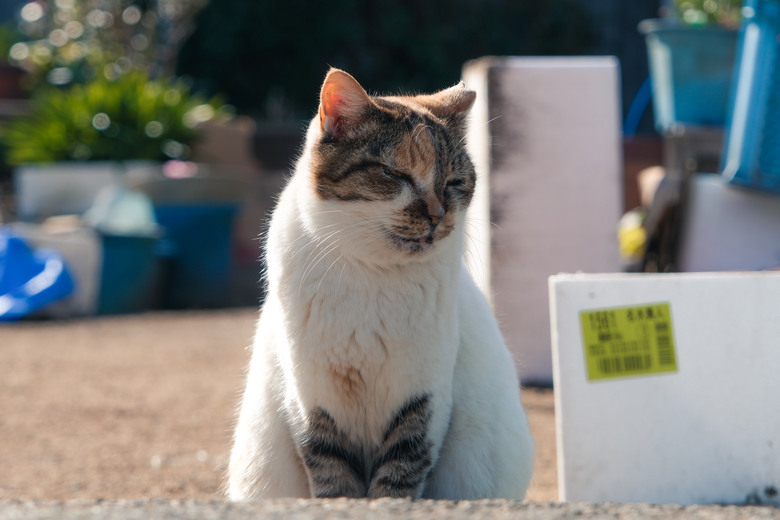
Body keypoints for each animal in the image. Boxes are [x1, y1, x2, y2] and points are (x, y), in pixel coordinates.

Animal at [225, 69, 532, 500]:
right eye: (395, 174)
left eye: (454, 182)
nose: (438, 215)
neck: (372, 272)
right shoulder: (312, 399)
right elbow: (332, 475)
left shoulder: (423, 396)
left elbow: (399, 476)